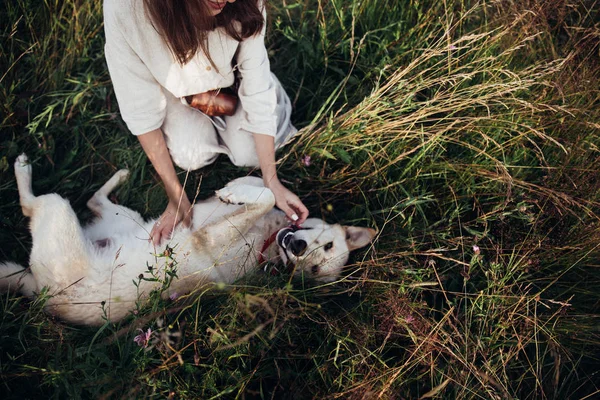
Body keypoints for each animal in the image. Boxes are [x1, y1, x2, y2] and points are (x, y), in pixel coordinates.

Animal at [0, 155, 376, 326]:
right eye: (327, 246)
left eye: (313, 270)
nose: (297, 248)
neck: (268, 243)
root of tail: (39, 294)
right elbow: (263, 185)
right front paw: (239, 190)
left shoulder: (210, 234)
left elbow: (264, 196)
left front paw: (239, 194)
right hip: (134, 221)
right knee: (94, 200)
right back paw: (119, 176)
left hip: (58, 211)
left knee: (31, 204)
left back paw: (22, 169)